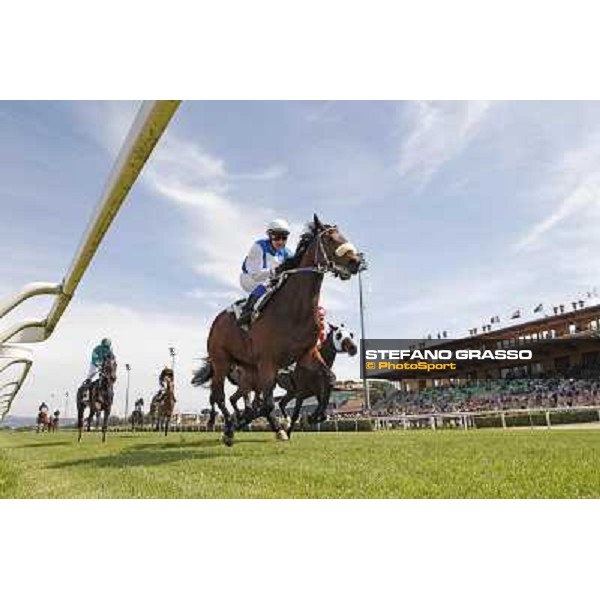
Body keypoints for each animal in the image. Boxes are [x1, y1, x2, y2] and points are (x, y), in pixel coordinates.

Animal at [192, 216, 360, 446]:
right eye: (329, 238)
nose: (357, 261)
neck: (295, 310)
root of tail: (217, 321)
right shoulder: (268, 361)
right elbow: (269, 404)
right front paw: (281, 427)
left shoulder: (307, 354)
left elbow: (330, 378)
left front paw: (315, 416)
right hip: (221, 361)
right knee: (219, 396)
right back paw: (228, 429)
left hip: (249, 367)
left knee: (240, 399)